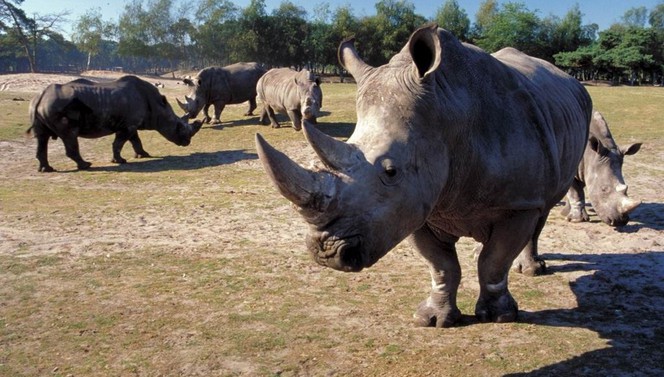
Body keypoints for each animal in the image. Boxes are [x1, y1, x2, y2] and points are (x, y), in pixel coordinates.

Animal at [27, 75, 202, 172]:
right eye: (178, 127)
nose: (187, 142)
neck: (158, 107)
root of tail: (41, 97)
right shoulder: (128, 125)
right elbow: (119, 142)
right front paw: (120, 161)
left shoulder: (132, 124)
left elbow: (135, 140)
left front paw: (143, 155)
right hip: (58, 107)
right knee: (70, 135)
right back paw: (86, 165)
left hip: (42, 106)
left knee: (42, 138)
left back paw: (46, 170)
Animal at [255, 25, 592, 326]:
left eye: (391, 171)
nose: (327, 254)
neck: (448, 113)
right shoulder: (415, 204)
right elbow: (441, 266)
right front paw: (433, 318)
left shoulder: (518, 201)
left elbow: (494, 262)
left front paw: (500, 316)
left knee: (544, 209)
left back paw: (530, 269)